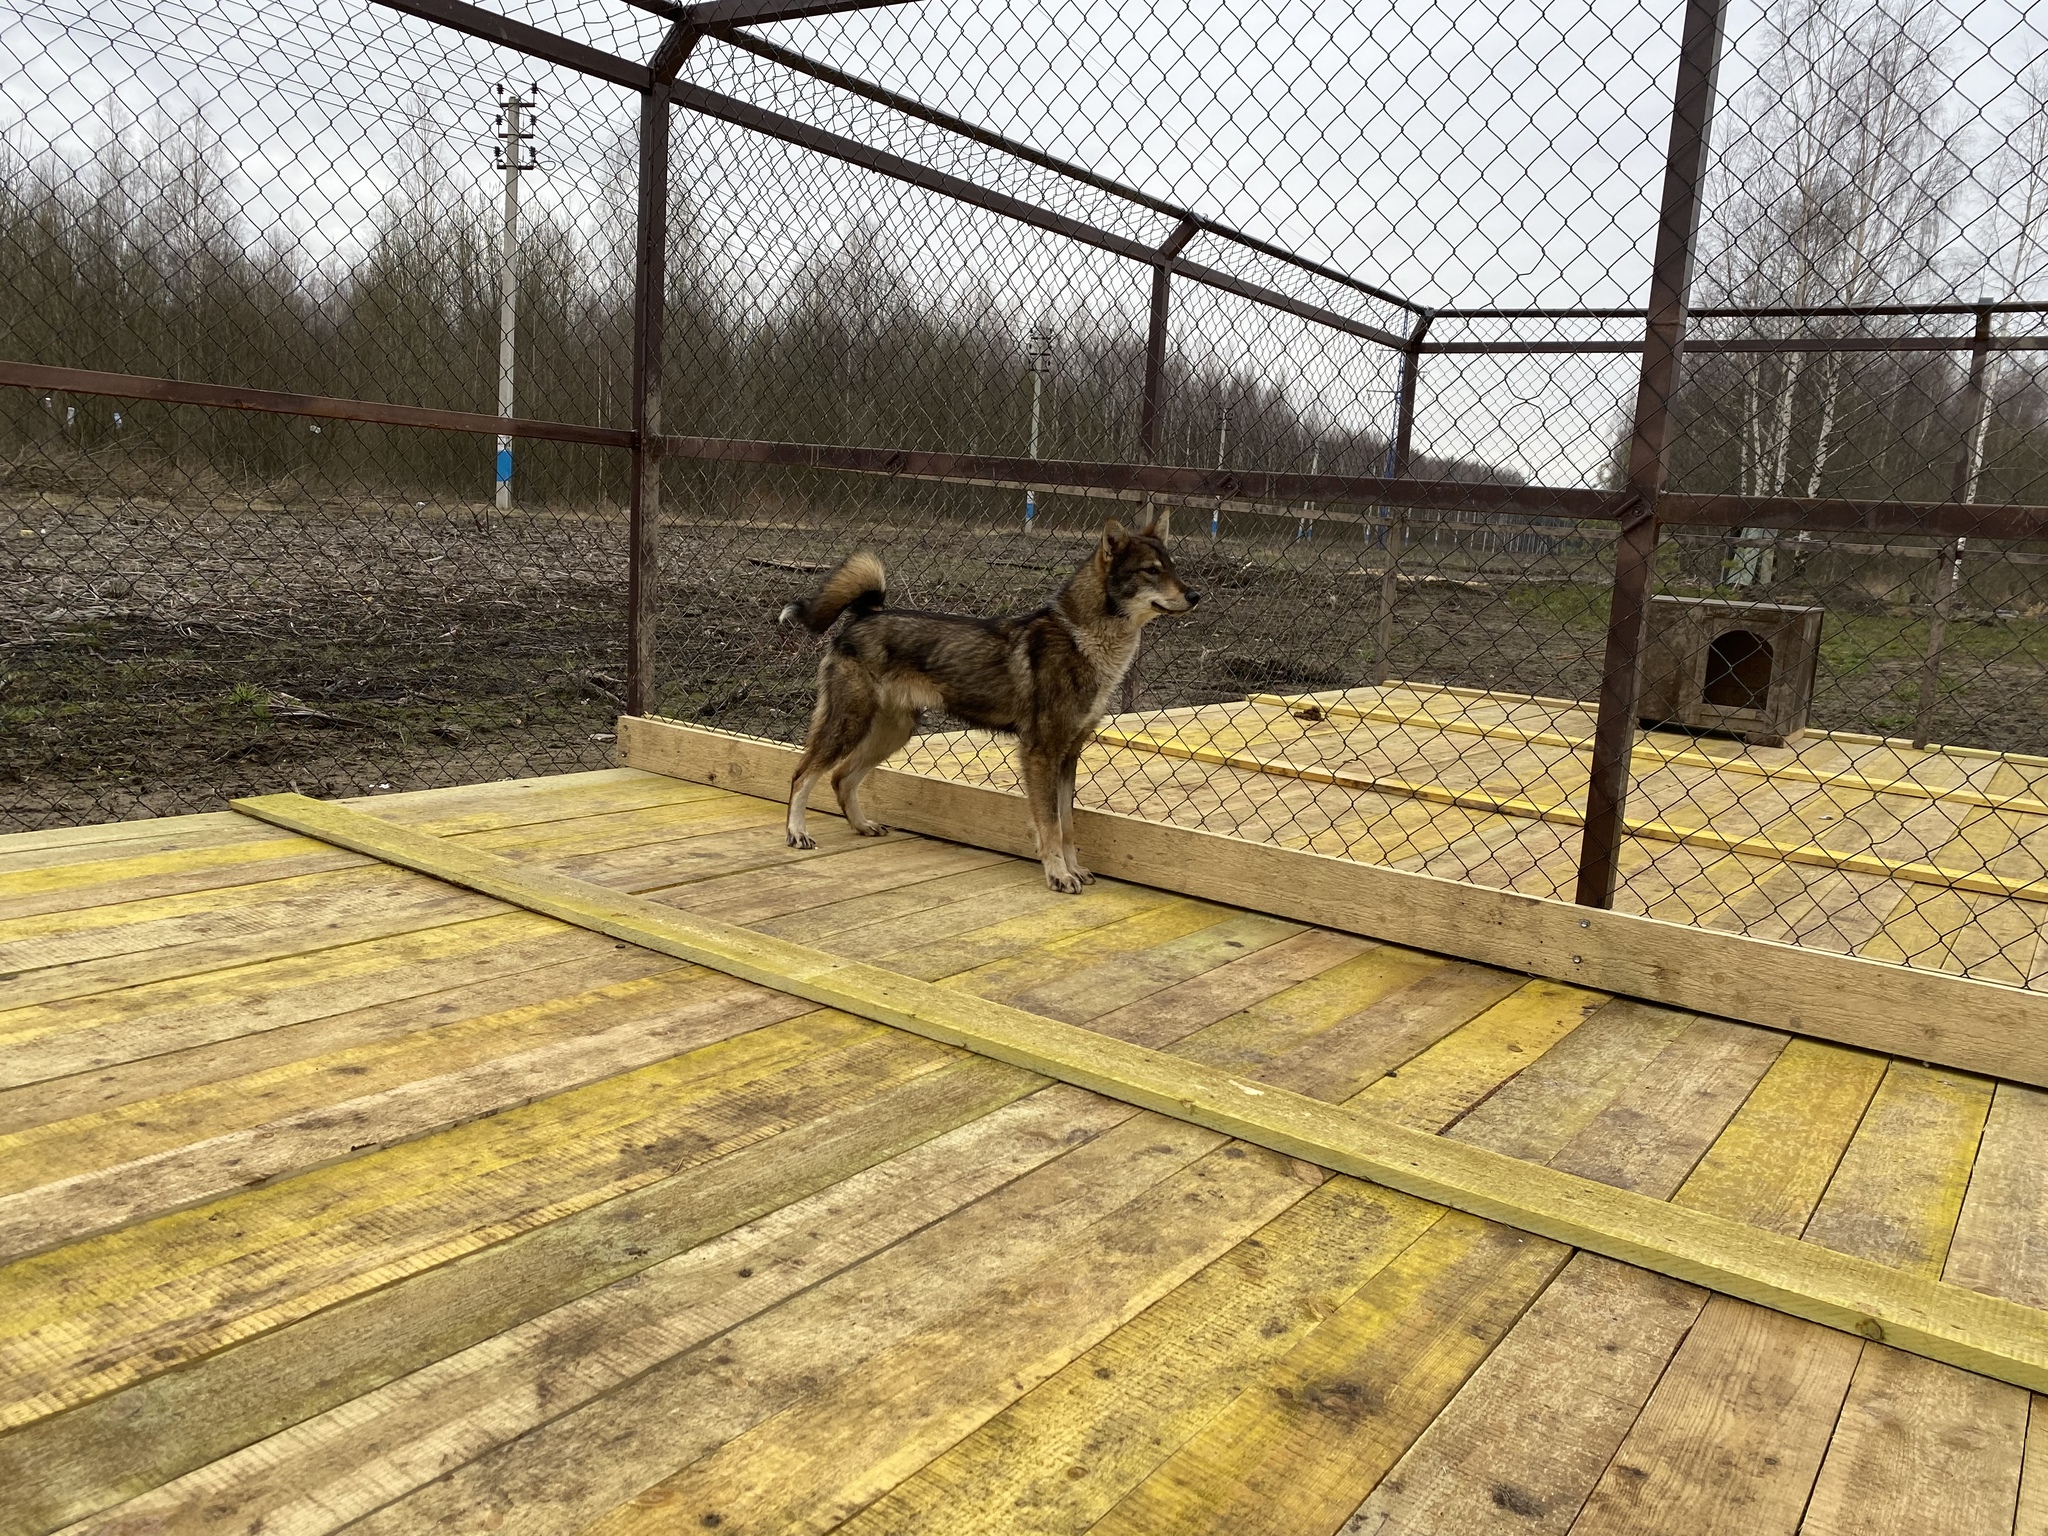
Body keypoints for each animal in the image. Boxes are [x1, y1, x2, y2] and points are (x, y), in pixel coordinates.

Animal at [778, 520, 1196, 888]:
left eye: (1173, 567)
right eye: (1151, 570)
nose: (1196, 596)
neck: (1085, 639)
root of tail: (867, 614)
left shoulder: (1068, 755)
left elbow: (1068, 825)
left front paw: (1074, 870)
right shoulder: (1041, 753)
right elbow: (1050, 825)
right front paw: (1058, 875)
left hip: (892, 732)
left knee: (840, 777)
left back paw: (861, 826)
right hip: (850, 723)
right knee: (803, 773)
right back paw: (797, 833)